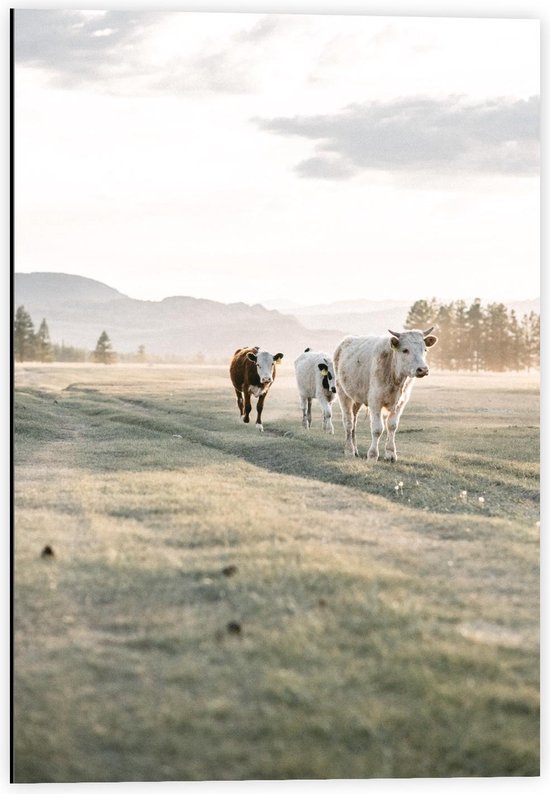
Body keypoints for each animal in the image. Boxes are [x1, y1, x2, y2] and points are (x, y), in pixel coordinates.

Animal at [332, 326, 440, 458]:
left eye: (425, 350)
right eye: (405, 350)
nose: (423, 369)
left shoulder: (400, 403)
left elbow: (392, 426)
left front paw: (390, 453)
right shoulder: (375, 401)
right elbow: (377, 429)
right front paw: (373, 454)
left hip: (357, 397)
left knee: (354, 420)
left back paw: (355, 449)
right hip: (343, 393)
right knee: (349, 421)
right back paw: (349, 450)